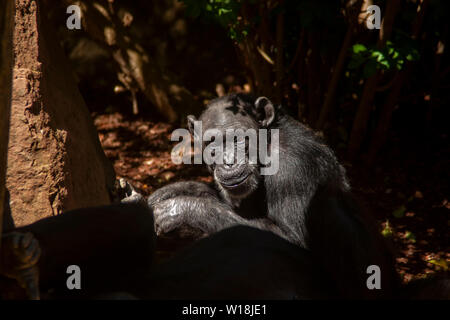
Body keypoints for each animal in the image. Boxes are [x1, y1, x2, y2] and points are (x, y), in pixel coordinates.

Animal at [147, 94, 398, 298]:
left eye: (237, 138)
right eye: (212, 143)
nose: (228, 161)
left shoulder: (293, 168)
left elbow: (293, 241)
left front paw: (182, 209)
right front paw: (176, 191)